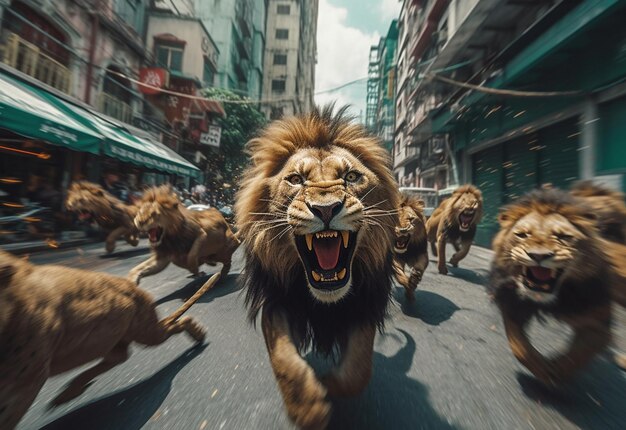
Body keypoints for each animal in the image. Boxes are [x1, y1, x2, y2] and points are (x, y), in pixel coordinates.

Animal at [0, 249, 221, 430]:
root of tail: (134, 286)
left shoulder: (26, 381)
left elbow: (8, 415)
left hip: (146, 332)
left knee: (173, 324)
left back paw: (199, 333)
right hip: (114, 338)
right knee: (120, 356)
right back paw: (68, 393)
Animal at [234, 105, 400, 430]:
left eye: (351, 176)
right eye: (296, 179)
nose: (325, 209)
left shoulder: (364, 303)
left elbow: (357, 371)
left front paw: (329, 384)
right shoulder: (277, 300)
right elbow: (283, 358)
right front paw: (308, 407)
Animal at [488, 188, 624, 386]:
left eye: (564, 237)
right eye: (522, 235)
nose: (538, 256)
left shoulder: (597, 322)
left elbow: (578, 354)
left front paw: (556, 372)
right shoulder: (513, 305)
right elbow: (519, 348)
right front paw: (543, 370)